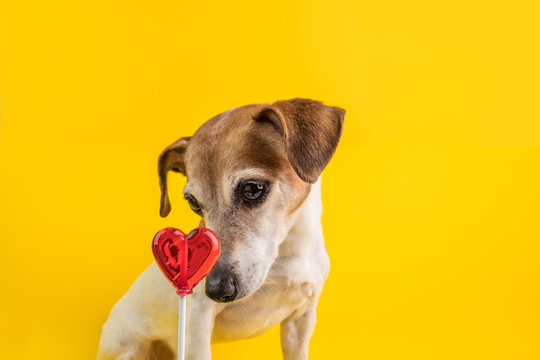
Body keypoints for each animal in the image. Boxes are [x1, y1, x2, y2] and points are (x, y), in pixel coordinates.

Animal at [97, 98, 346, 360]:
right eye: (193, 202)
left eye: (252, 188)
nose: (216, 289)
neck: (286, 254)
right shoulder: (198, 321)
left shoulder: (301, 320)